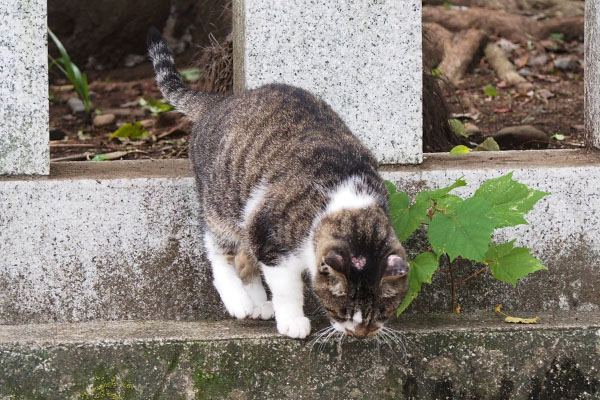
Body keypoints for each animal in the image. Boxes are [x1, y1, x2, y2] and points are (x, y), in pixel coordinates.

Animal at [149, 27, 410, 338]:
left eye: (382, 313)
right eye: (342, 311)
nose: (359, 334)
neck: (345, 197)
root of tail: (220, 101)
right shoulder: (270, 236)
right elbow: (287, 289)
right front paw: (292, 320)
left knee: (244, 257)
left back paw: (259, 305)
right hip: (222, 203)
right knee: (219, 250)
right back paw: (239, 301)